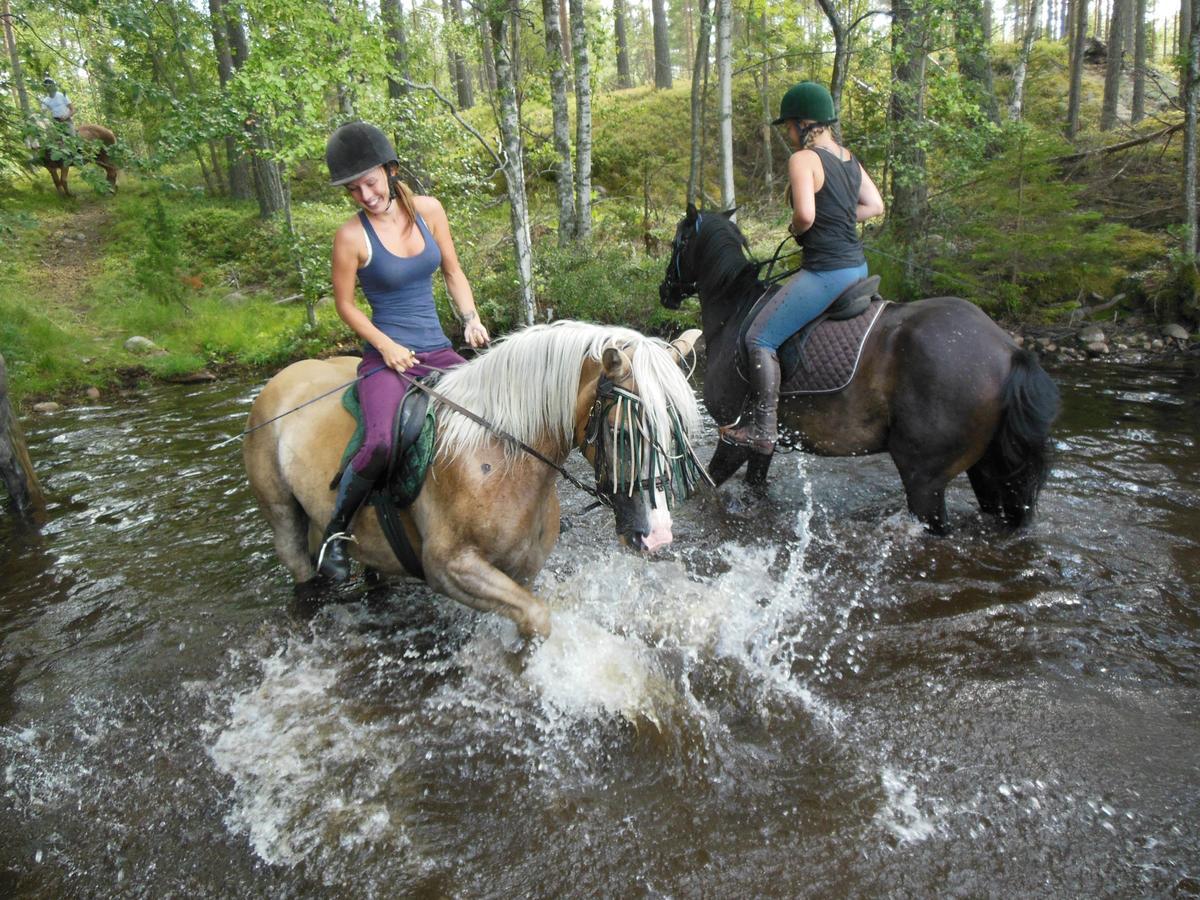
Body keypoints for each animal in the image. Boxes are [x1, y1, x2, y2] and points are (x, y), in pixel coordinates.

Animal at [247, 321, 705, 638]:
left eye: (675, 432)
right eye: (622, 433)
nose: (658, 535)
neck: (497, 457)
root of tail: (285, 377)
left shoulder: (522, 569)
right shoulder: (450, 569)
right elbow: (537, 619)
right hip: (284, 520)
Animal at [662, 207, 1065, 532]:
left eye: (676, 243)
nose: (666, 291)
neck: (734, 312)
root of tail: (1010, 352)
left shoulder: (734, 435)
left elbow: (701, 488)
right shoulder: (763, 443)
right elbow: (754, 487)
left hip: (925, 479)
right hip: (987, 467)